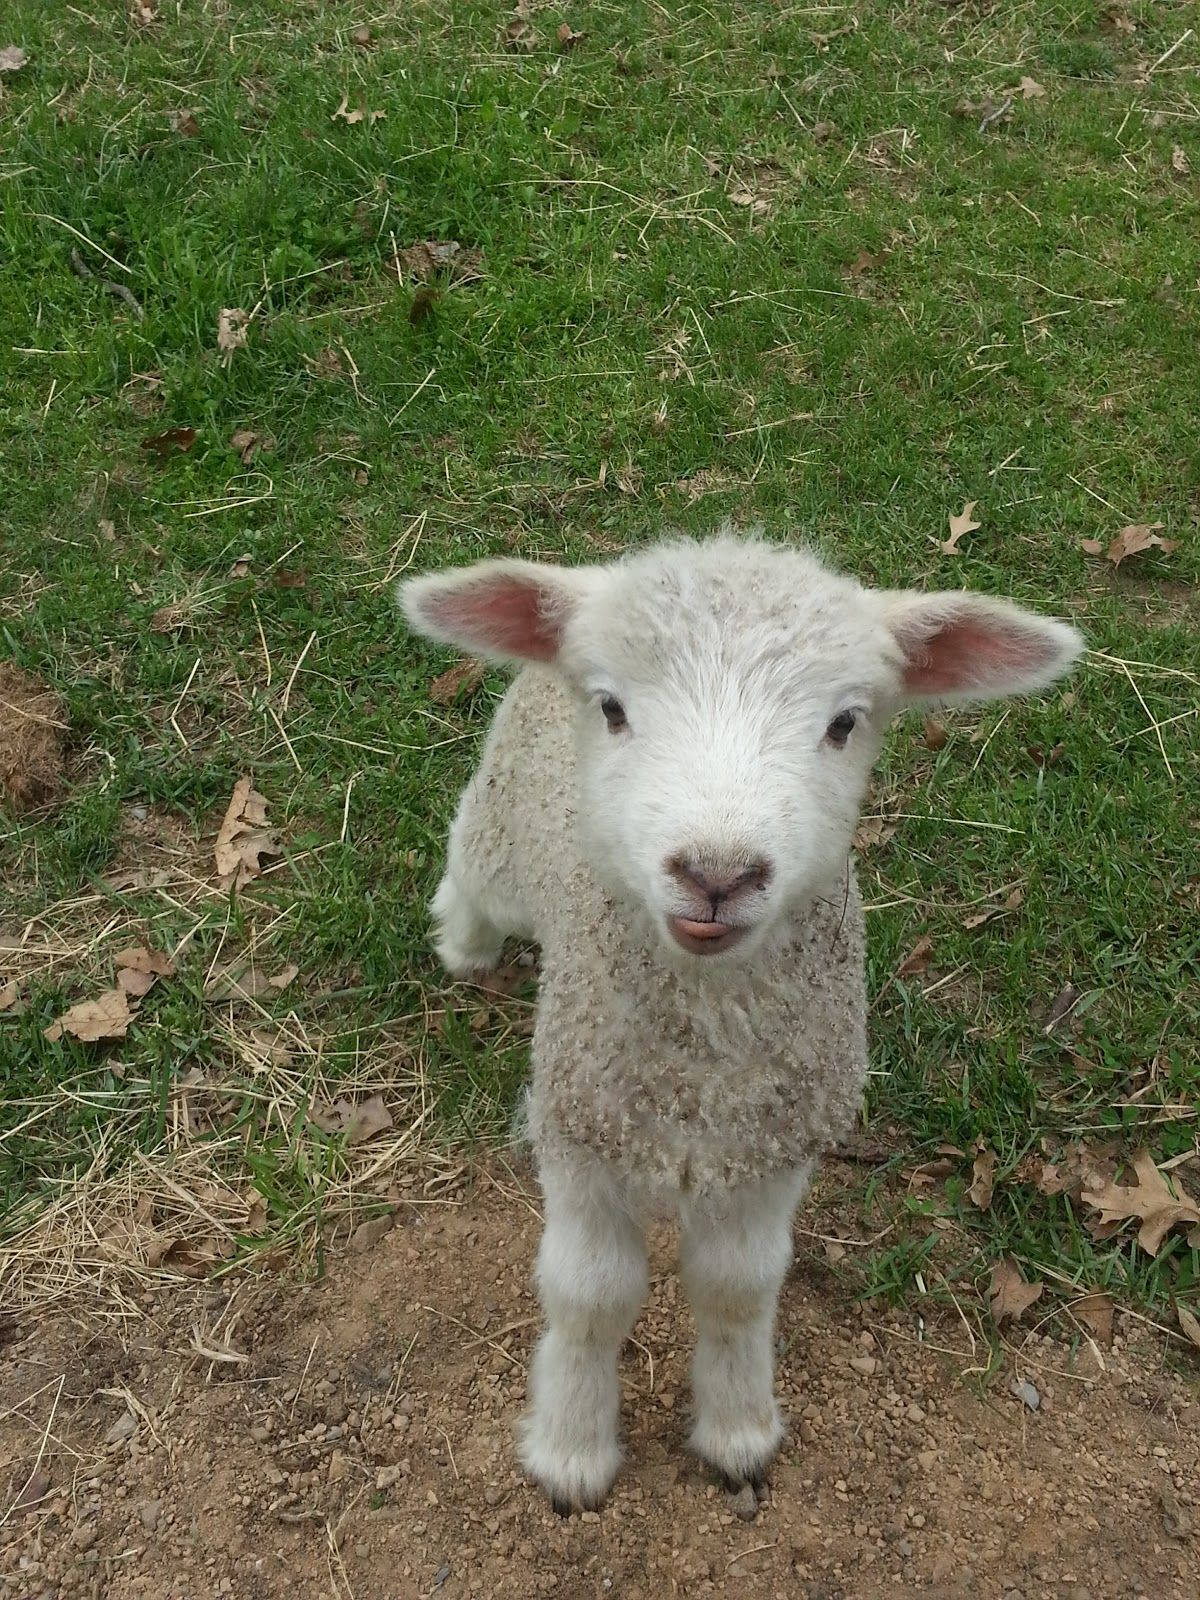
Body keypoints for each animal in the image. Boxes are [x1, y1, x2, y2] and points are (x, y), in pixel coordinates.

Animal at [399, 530, 1081, 1515]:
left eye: (844, 723)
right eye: (612, 707)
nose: (717, 873)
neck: (702, 1066)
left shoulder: (771, 1147)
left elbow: (737, 1291)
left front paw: (737, 1433)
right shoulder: (580, 1131)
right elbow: (590, 1299)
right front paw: (571, 1449)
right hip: (501, 824)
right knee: (468, 862)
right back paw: (462, 944)